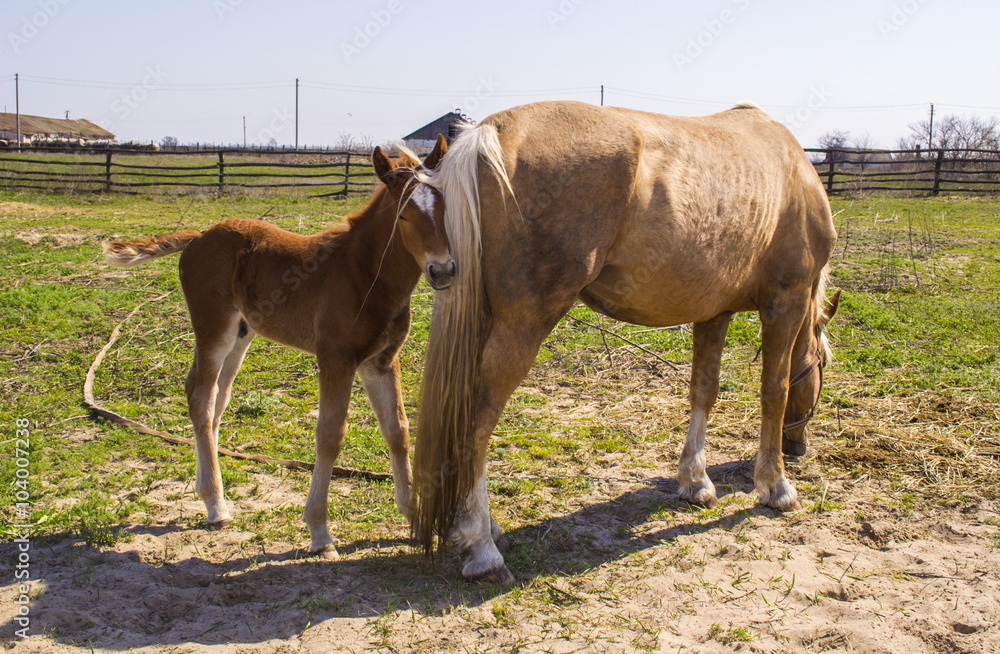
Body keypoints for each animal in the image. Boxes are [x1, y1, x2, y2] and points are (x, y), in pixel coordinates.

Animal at [102, 136, 451, 557]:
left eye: (446, 205)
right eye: (403, 216)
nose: (443, 270)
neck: (364, 274)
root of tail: (198, 235)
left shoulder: (381, 362)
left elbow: (397, 431)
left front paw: (414, 518)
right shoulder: (335, 359)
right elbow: (330, 434)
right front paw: (319, 531)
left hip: (240, 336)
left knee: (214, 398)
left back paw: (207, 492)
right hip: (213, 329)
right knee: (201, 396)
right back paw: (216, 505)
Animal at [411, 101, 840, 583]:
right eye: (822, 369)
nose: (798, 447)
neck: (794, 173)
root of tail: (490, 132)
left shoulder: (714, 312)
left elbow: (704, 390)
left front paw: (696, 481)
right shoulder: (785, 301)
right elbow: (775, 390)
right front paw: (776, 485)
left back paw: (484, 529)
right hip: (522, 326)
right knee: (476, 425)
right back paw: (482, 546)